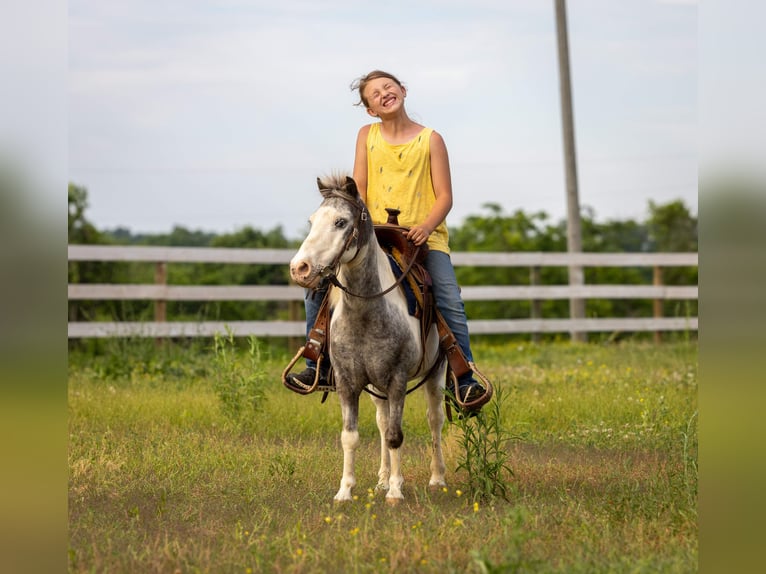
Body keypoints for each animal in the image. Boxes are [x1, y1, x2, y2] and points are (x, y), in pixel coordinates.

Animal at [289, 174, 447, 504]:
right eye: (312, 221)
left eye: (340, 221)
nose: (300, 268)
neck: (366, 311)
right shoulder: (348, 383)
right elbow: (351, 437)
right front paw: (346, 491)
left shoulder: (398, 379)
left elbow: (396, 436)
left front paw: (397, 492)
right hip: (376, 386)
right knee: (383, 421)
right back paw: (382, 479)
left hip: (435, 373)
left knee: (434, 419)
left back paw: (437, 478)